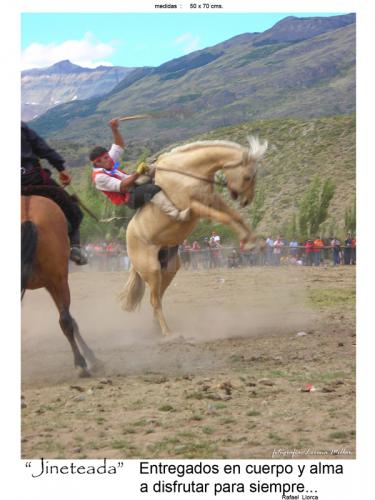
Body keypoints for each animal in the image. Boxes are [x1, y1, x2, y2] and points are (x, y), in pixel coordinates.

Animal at [20, 193, 100, 376]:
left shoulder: (50, 284)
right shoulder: (56, 282)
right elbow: (70, 320)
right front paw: (90, 358)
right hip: (59, 280)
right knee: (65, 321)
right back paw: (80, 364)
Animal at [120, 138, 268, 336]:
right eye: (248, 177)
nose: (246, 201)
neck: (187, 171)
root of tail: (129, 239)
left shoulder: (212, 199)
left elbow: (236, 216)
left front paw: (255, 242)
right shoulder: (195, 206)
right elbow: (226, 218)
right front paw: (248, 242)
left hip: (169, 268)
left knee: (158, 297)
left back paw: (157, 328)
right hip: (151, 270)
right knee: (154, 301)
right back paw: (168, 333)